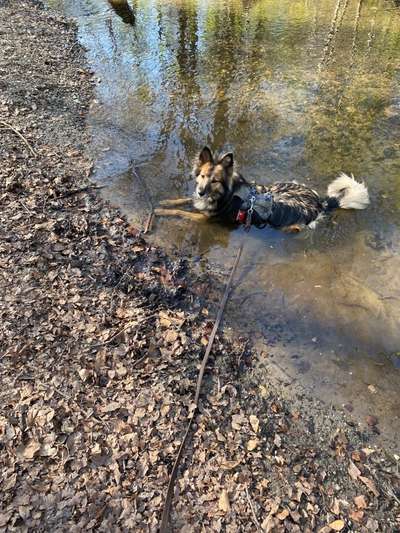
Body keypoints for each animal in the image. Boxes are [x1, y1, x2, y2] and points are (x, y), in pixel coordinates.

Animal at [155, 145, 370, 231]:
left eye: (215, 181)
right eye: (202, 176)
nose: (201, 191)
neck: (223, 195)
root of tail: (320, 202)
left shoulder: (204, 219)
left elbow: (181, 212)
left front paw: (160, 210)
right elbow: (184, 199)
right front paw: (165, 201)